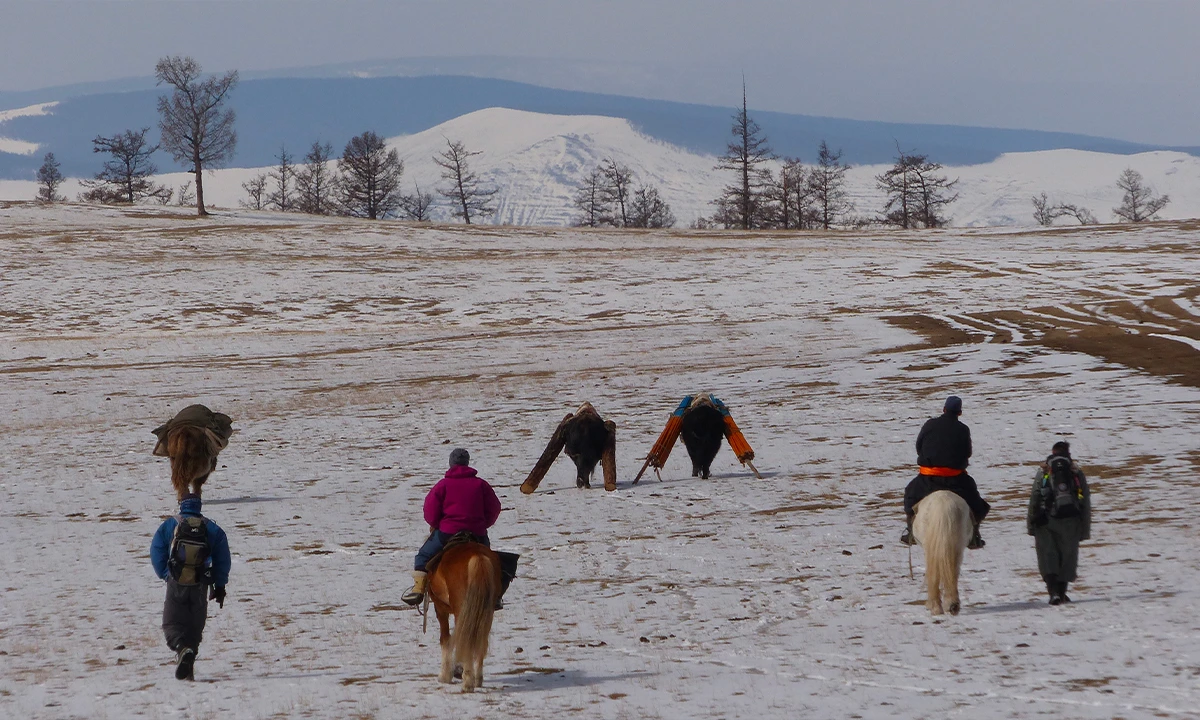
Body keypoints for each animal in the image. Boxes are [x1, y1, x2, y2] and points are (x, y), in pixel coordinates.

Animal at [429, 542, 499, 691]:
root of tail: (477, 556)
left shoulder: (440, 609)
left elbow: (445, 639)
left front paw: (444, 676)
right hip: (487, 612)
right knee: (481, 641)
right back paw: (477, 680)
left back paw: (467, 682)